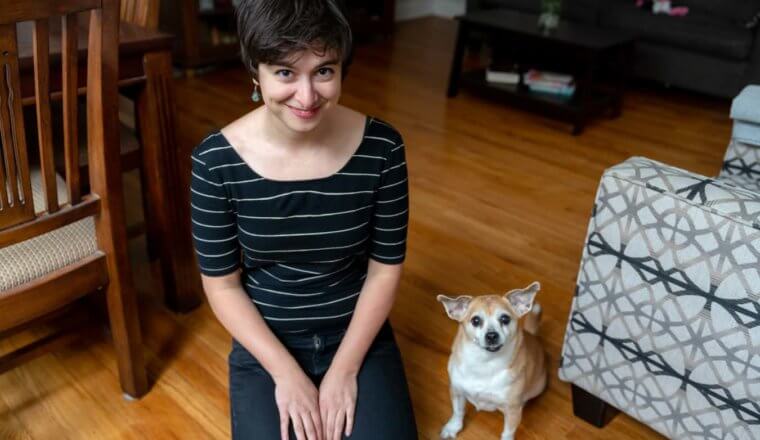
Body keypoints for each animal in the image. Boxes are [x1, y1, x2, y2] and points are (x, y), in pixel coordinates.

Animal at [436, 282, 548, 440]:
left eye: (505, 319)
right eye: (475, 320)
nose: (491, 335)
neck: (485, 362)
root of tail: (533, 336)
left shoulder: (513, 410)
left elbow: (508, 432)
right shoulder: (457, 391)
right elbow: (458, 412)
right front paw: (453, 428)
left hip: (539, 386)